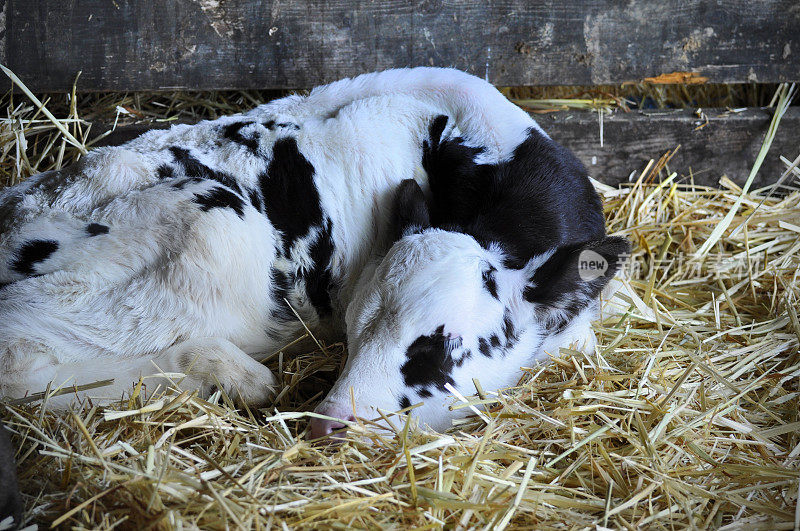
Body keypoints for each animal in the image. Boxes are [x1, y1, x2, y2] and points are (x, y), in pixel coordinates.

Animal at [0, 67, 628, 440]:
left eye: (438, 349)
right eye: (351, 330)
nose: (331, 421)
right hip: (212, 223)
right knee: (21, 366)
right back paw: (230, 372)